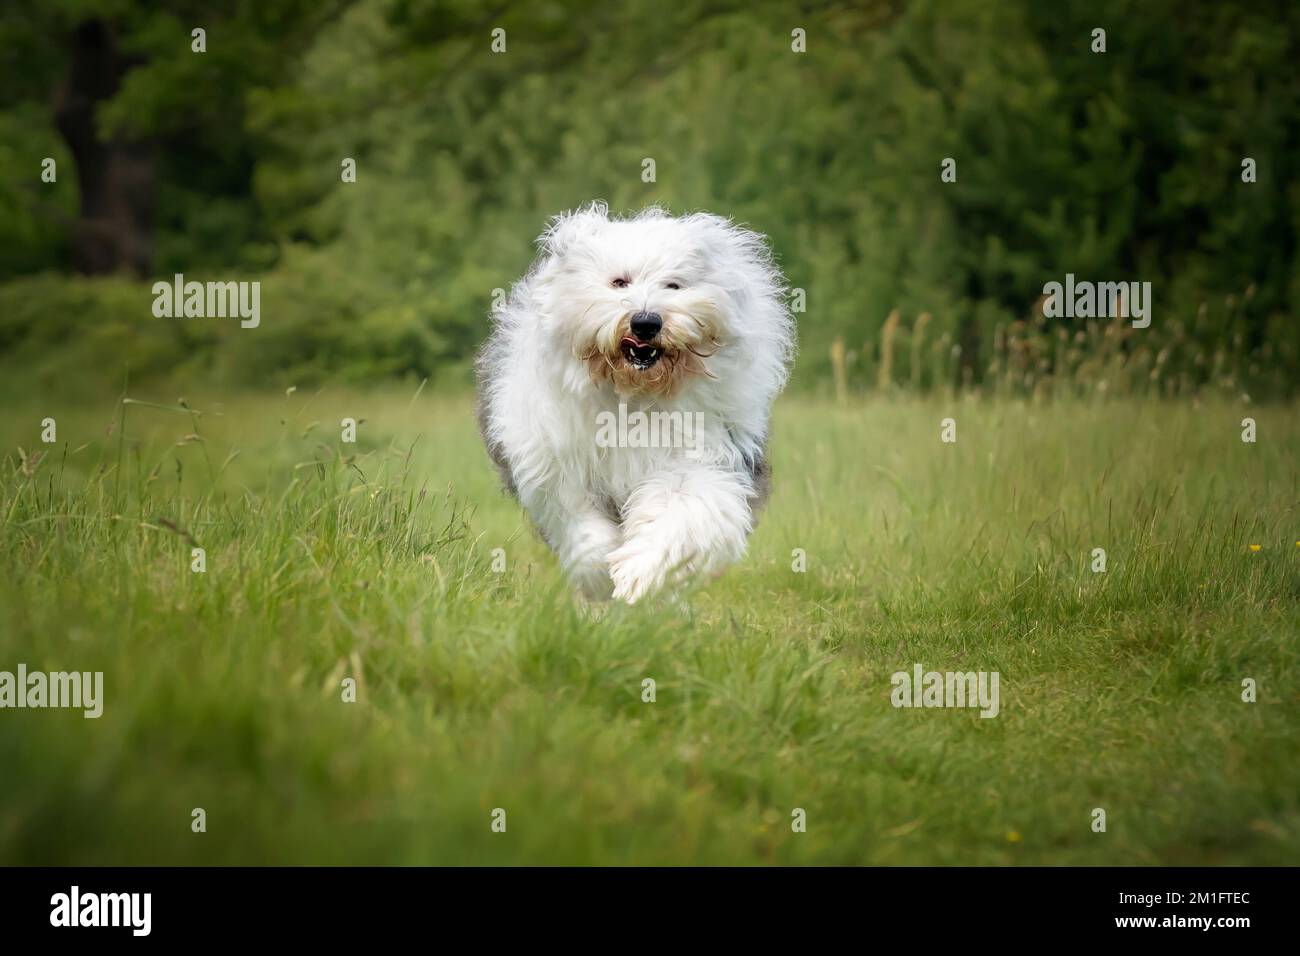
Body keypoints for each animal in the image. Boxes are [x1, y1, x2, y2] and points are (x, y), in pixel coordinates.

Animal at [480, 204, 790, 600]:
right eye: (619, 282)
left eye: (673, 285)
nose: (645, 322)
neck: (634, 394)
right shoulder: (557, 467)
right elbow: (582, 528)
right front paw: (600, 577)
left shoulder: (702, 459)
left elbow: (681, 511)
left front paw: (637, 575)